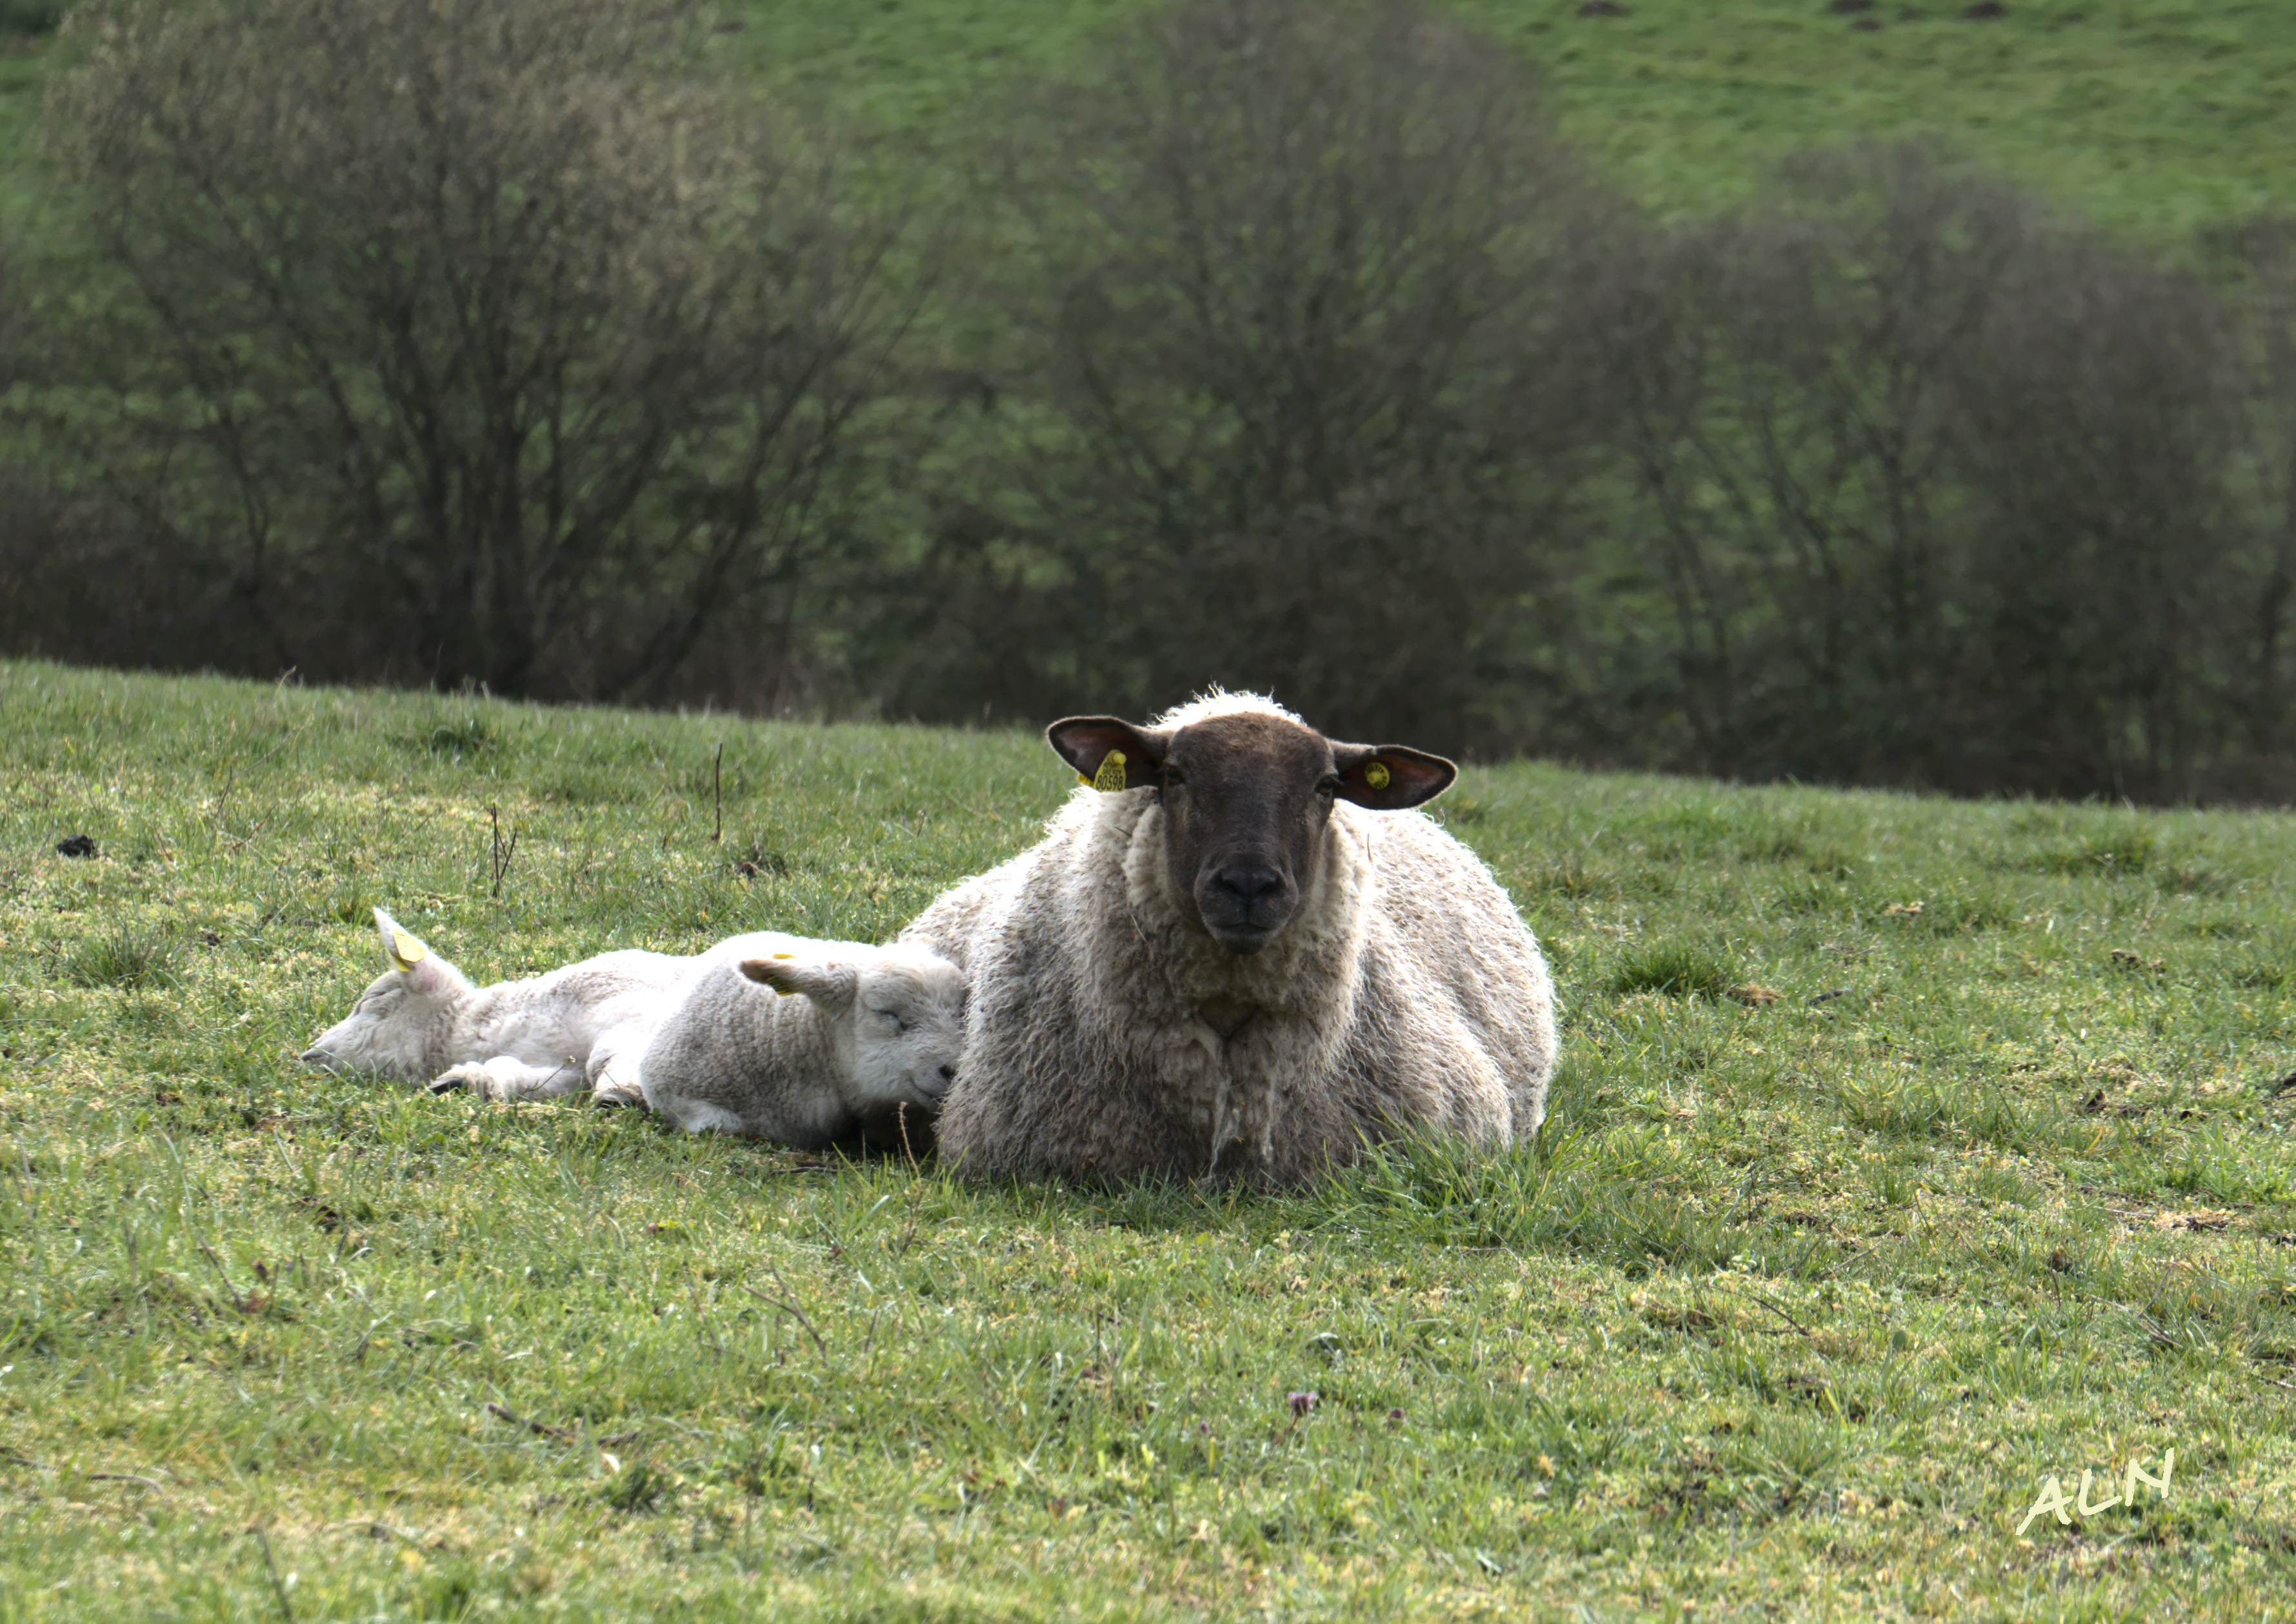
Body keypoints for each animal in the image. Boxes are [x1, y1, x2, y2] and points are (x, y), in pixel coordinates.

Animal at [301, 909, 964, 1148]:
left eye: (373, 1001)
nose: (309, 1054)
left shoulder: (632, 1010)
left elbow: (606, 1064)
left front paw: (619, 1095)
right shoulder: (559, 1060)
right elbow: (529, 1079)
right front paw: (470, 1081)